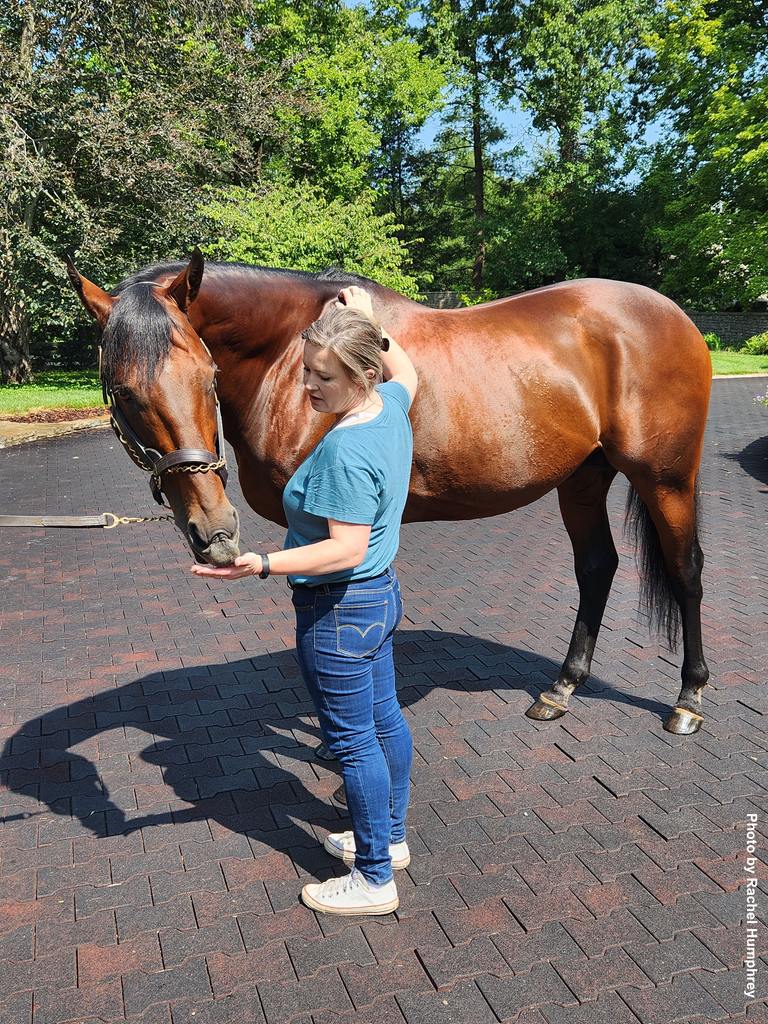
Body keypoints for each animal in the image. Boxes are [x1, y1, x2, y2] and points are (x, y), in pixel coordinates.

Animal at [67, 253, 716, 737]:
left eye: (207, 376)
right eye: (121, 392)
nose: (214, 530)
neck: (290, 360)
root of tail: (676, 316)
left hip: (666, 478)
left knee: (685, 568)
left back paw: (688, 699)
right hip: (582, 478)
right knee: (597, 567)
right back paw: (562, 688)